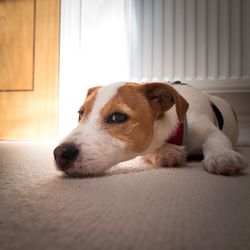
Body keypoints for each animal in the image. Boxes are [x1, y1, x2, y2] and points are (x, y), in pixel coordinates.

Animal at [53, 81, 246, 176]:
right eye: (80, 114)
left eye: (118, 117)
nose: (60, 154)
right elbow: (150, 150)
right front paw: (167, 152)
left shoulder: (209, 130)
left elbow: (216, 139)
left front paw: (222, 156)